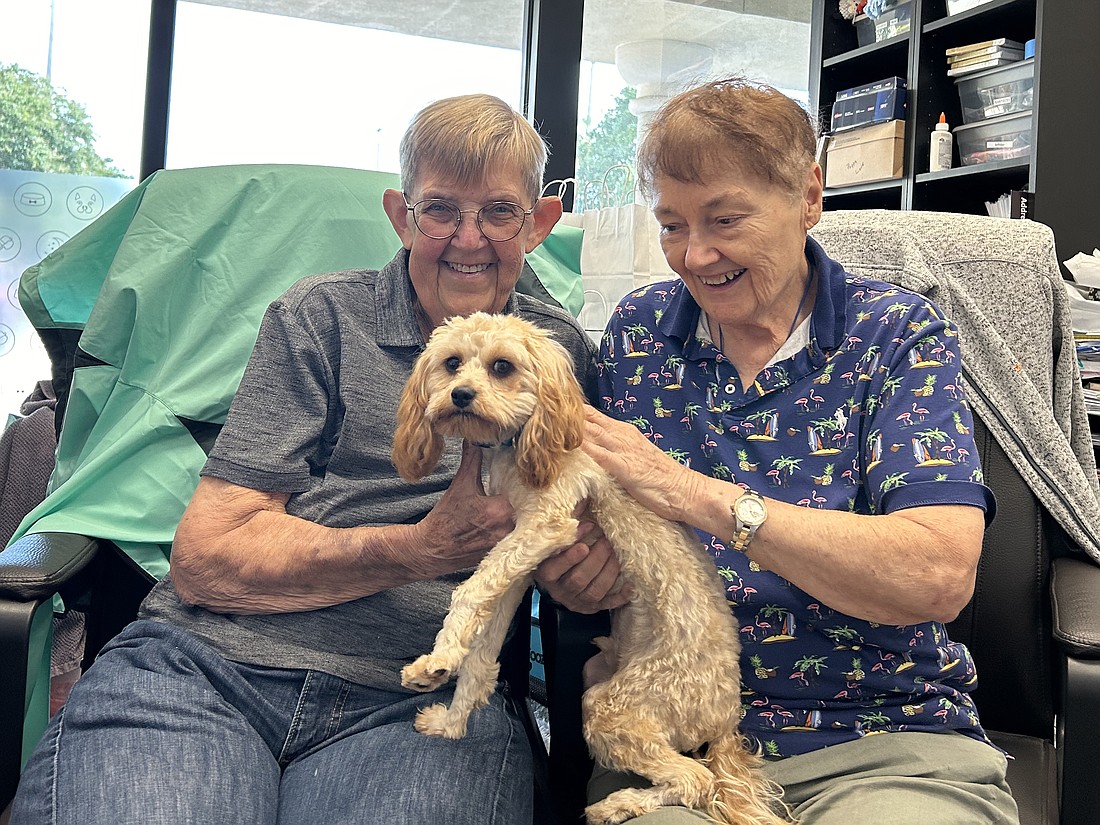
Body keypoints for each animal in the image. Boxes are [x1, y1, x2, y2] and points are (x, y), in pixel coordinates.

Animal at [391, 312, 787, 825]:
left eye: (502, 366)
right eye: (451, 363)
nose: (459, 395)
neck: (524, 441)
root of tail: (724, 722)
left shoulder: (548, 526)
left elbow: (469, 592)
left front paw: (437, 660)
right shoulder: (516, 561)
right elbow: (482, 654)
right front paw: (451, 718)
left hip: (610, 706)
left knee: (697, 780)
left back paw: (618, 805)